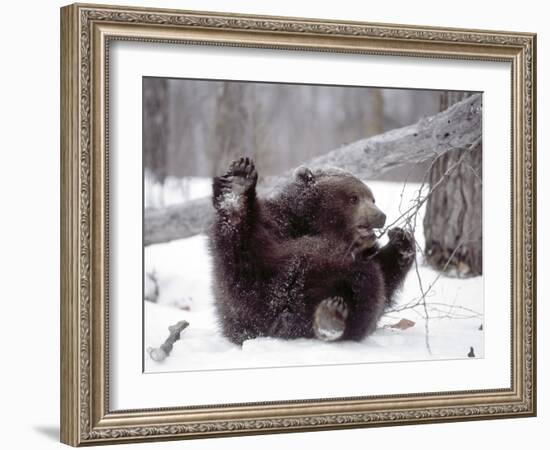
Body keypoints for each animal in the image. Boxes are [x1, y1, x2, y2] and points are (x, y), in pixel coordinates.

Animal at [209, 157, 416, 344]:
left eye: (372, 198)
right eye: (353, 198)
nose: (380, 215)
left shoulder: (365, 252)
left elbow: (385, 278)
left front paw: (402, 241)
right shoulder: (277, 224)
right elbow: (242, 263)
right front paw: (237, 184)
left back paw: (330, 316)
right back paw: (237, 188)